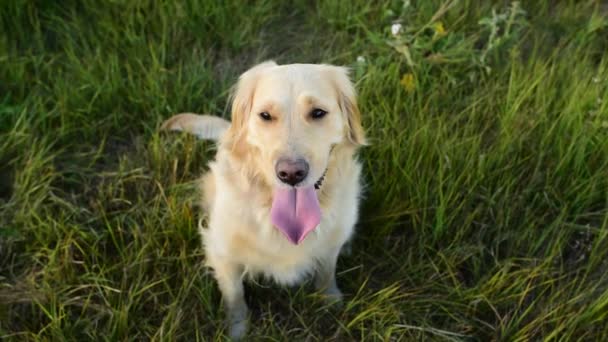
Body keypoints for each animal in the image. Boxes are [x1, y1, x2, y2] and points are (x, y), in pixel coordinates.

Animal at [160, 60, 366, 338]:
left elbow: (327, 270)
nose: (291, 173)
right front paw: (237, 330)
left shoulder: (330, 244)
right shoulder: (222, 253)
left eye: (318, 112)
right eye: (266, 116)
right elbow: (234, 296)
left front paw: (330, 300)